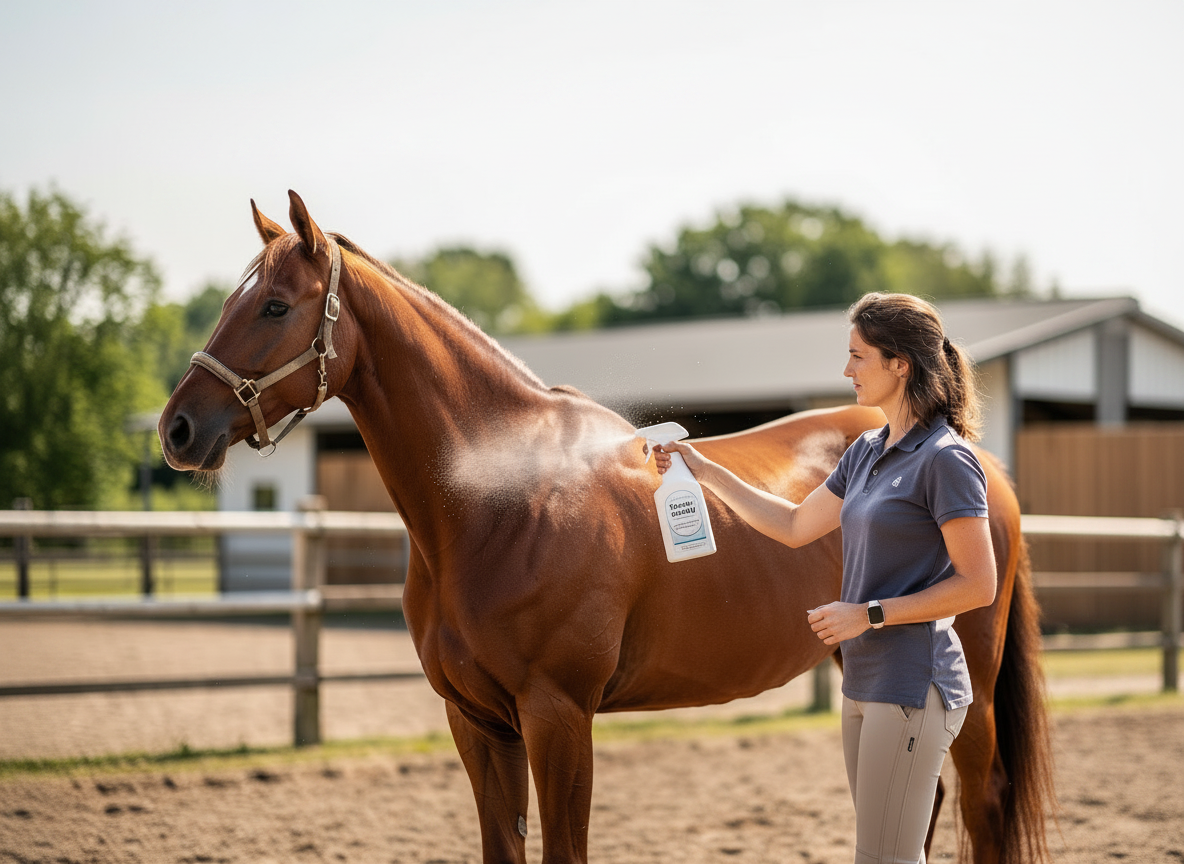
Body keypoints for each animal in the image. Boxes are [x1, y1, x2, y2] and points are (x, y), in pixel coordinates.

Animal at [159, 191, 1055, 864]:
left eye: (276, 305)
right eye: (231, 300)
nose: (178, 429)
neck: (496, 504)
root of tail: (978, 459)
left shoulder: (558, 716)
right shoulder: (476, 722)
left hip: (970, 689)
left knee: (979, 803)